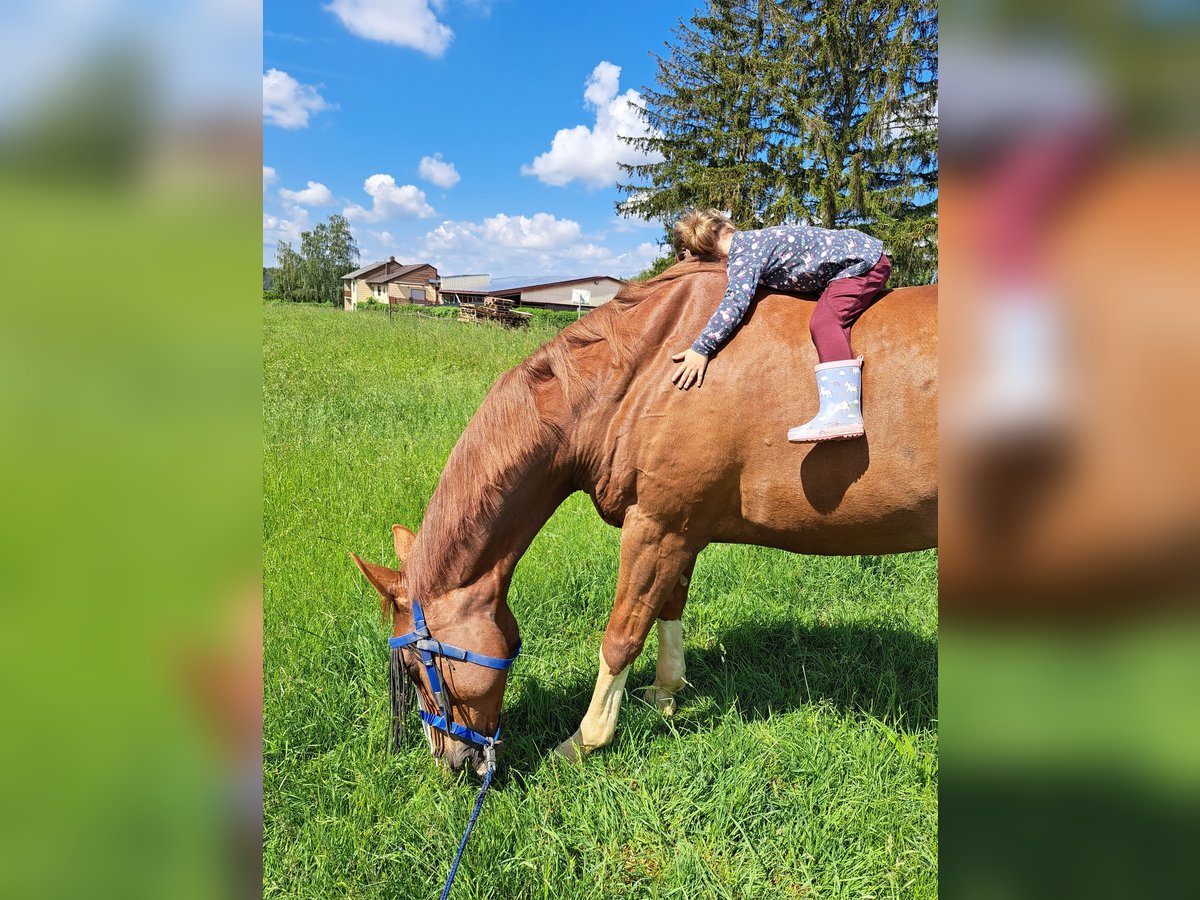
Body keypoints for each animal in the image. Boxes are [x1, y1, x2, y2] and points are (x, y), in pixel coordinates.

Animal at [350, 259, 940, 777]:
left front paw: (583, 741)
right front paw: (665, 694)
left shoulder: (655, 528)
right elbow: (668, 610)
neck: (643, 371)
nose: (452, 762)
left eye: (413, 668)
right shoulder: (681, 531)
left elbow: (622, 635)